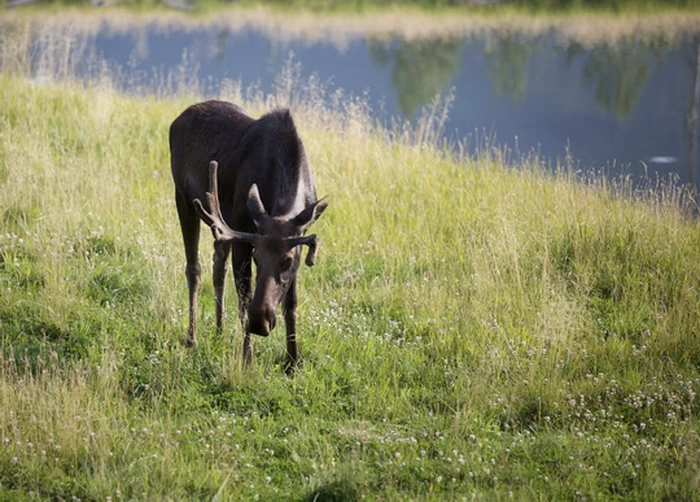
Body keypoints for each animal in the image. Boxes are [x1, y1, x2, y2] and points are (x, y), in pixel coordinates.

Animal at [172, 101, 330, 368]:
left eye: (287, 261)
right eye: (257, 257)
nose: (260, 321)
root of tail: (178, 118)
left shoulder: (297, 239)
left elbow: (291, 303)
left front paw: (292, 361)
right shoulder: (243, 235)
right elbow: (244, 297)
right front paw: (248, 358)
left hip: (218, 224)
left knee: (218, 266)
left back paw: (220, 332)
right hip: (183, 198)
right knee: (194, 268)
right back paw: (192, 337)